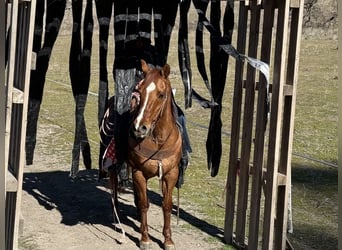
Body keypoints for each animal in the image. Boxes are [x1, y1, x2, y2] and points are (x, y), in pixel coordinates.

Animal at [127, 59, 182, 249]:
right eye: (140, 91)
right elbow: (144, 204)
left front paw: (168, 240)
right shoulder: (138, 172)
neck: (158, 140)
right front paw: (145, 238)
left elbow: (167, 205)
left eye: (161, 94)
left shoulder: (171, 174)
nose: (139, 127)